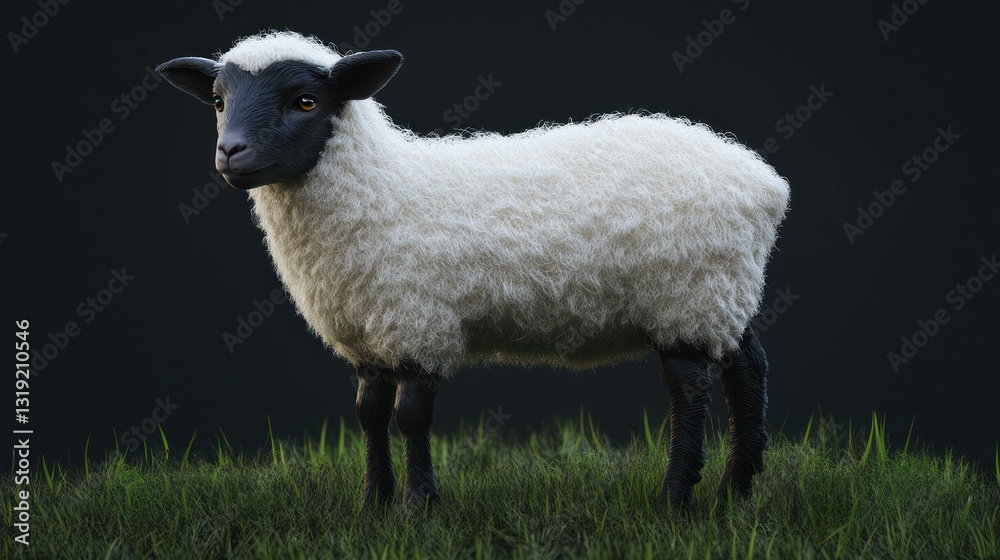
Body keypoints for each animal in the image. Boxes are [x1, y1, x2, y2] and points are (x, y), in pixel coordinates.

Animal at [157, 31, 789, 512]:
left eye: (306, 102)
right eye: (218, 101)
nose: (231, 154)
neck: (382, 187)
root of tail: (763, 183)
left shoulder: (418, 323)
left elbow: (411, 417)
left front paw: (417, 508)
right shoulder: (369, 331)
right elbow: (369, 415)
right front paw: (372, 505)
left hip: (689, 292)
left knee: (693, 389)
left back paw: (676, 499)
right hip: (722, 293)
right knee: (747, 369)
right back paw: (734, 492)